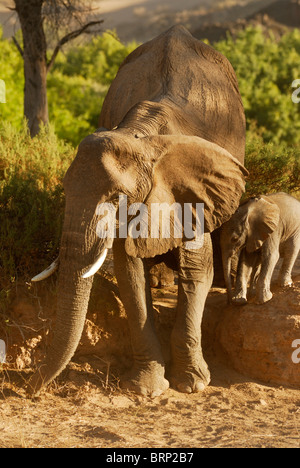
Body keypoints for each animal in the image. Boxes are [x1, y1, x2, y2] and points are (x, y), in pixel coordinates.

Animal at [27, 25, 246, 396]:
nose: (29, 386)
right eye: (65, 191)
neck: (139, 136)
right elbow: (129, 271)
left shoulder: (189, 190)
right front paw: (146, 389)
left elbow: (197, 269)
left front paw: (192, 384)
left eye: (117, 198)